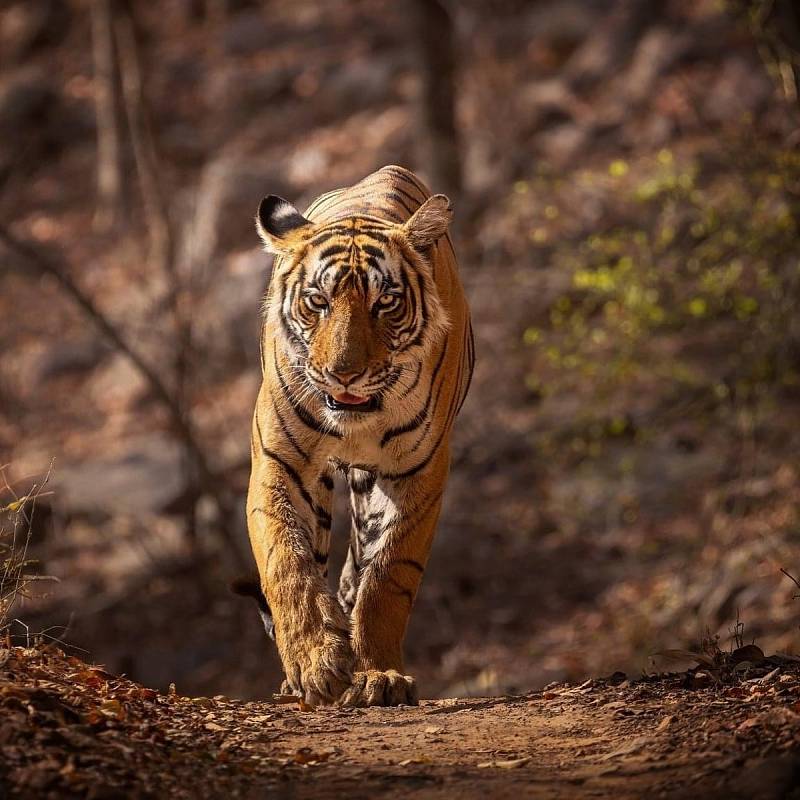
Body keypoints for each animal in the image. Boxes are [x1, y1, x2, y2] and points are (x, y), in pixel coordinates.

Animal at [242, 164, 468, 708]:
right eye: (317, 302)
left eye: (384, 302)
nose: (342, 374)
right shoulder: (280, 464)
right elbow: (286, 561)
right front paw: (314, 663)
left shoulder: (419, 474)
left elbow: (387, 578)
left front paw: (378, 675)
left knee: (356, 572)